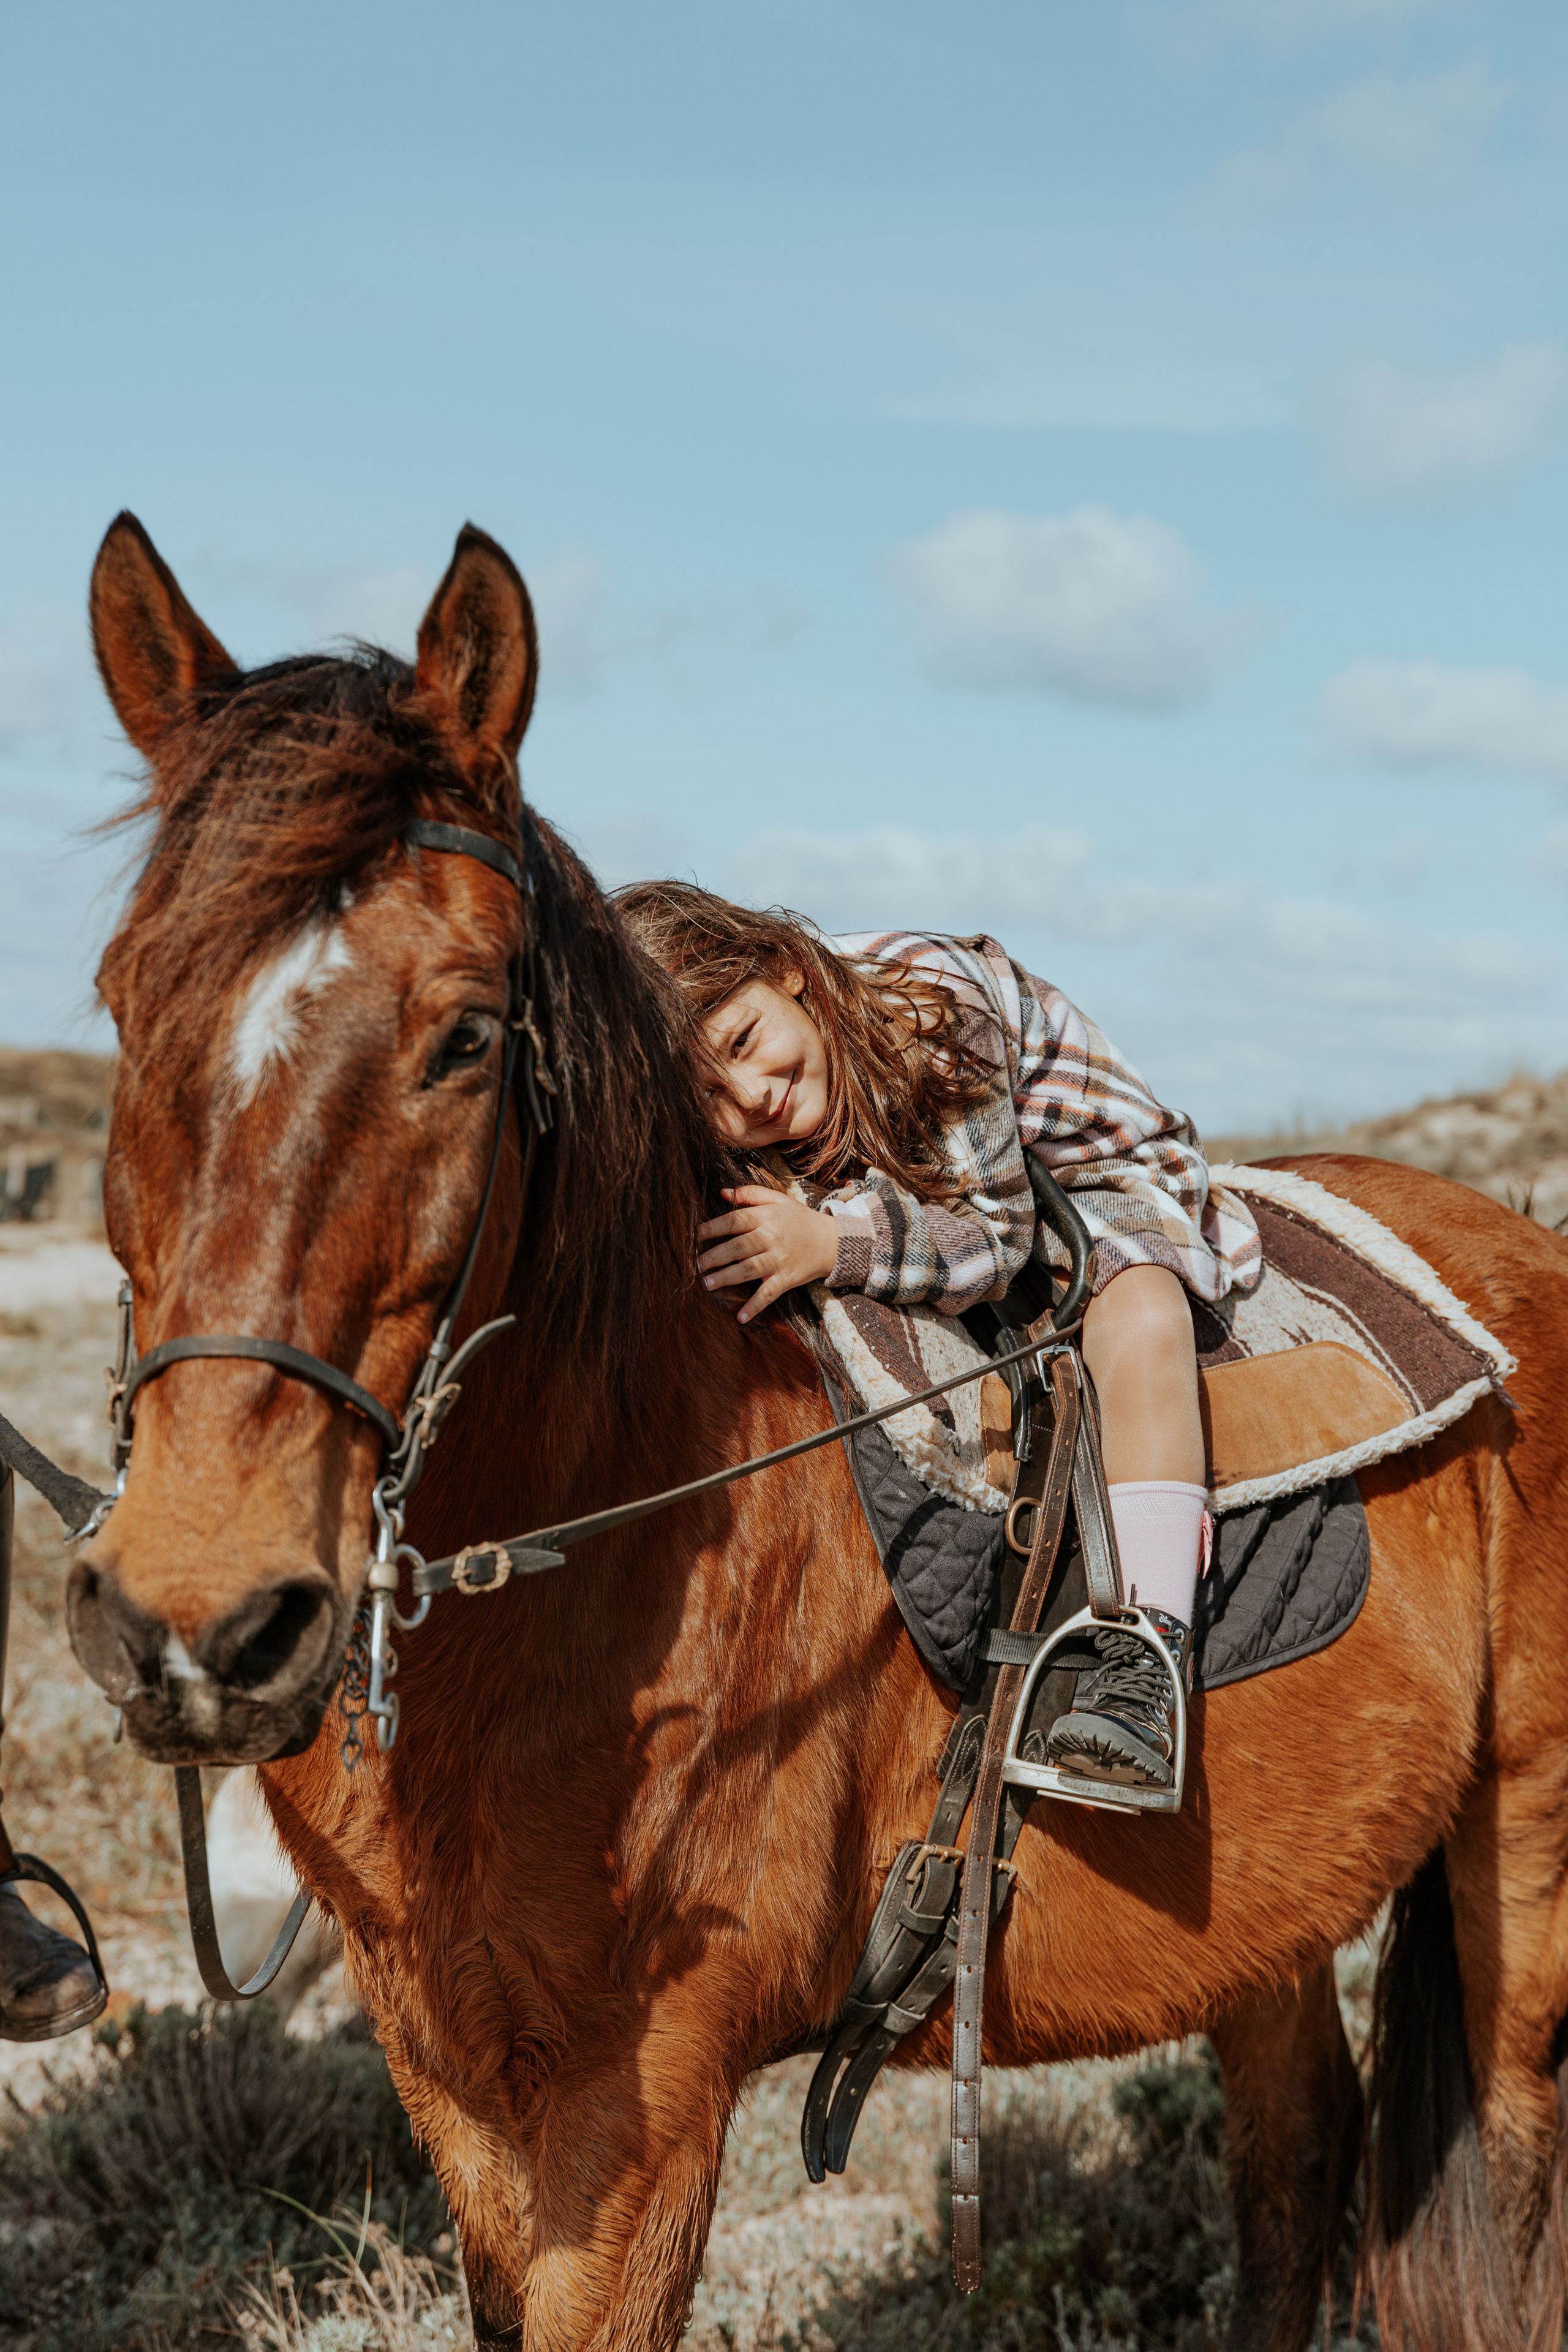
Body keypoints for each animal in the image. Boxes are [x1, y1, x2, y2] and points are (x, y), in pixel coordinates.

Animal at [63, 510, 1568, 2352]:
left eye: (467, 1034)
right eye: (125, 1004)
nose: (195, 1622)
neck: (619, 1543)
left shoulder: (636, 2123)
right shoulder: (461, 2092)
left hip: (1520, 1873)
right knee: (1296, 2159)